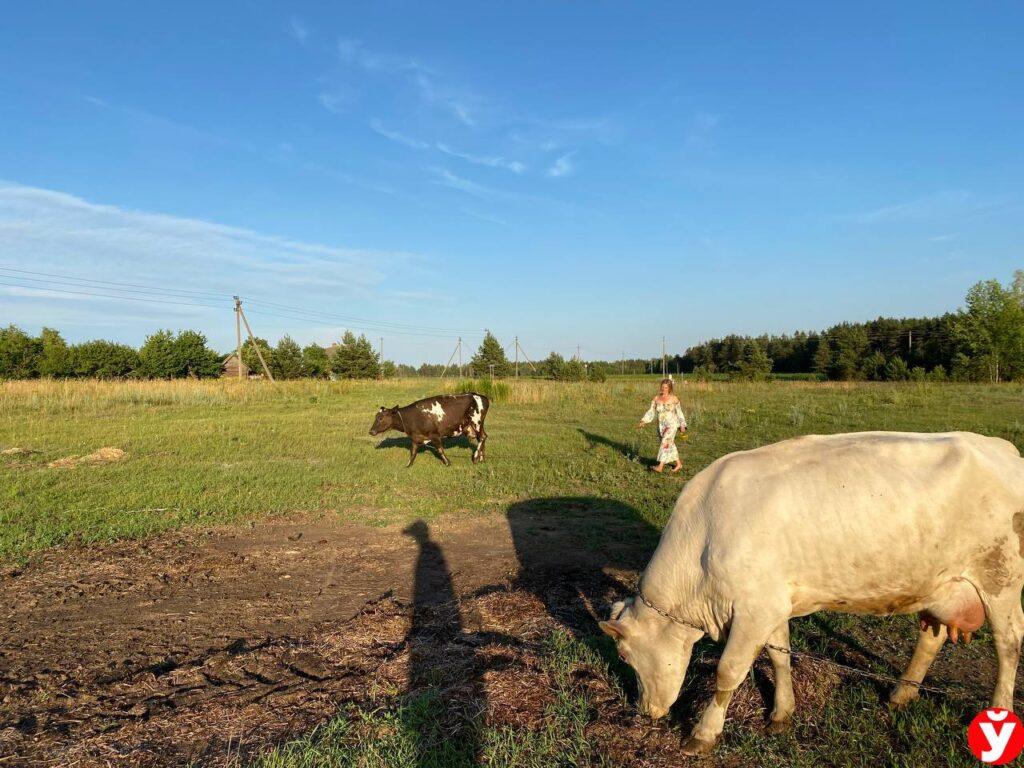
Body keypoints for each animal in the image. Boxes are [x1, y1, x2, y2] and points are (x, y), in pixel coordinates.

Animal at [598, 434, 1024, 757]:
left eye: (625, 655)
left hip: (1002, 579)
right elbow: (779, 657)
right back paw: (900, 694)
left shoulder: (754, 610)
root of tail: (1003, 449)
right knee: (930, 638)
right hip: (939, 585)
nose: (643, 710)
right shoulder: (771, 604)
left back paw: (999, 709)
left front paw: (702, 734)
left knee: (1008, 645)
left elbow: (728, 672)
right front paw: (782, 712)